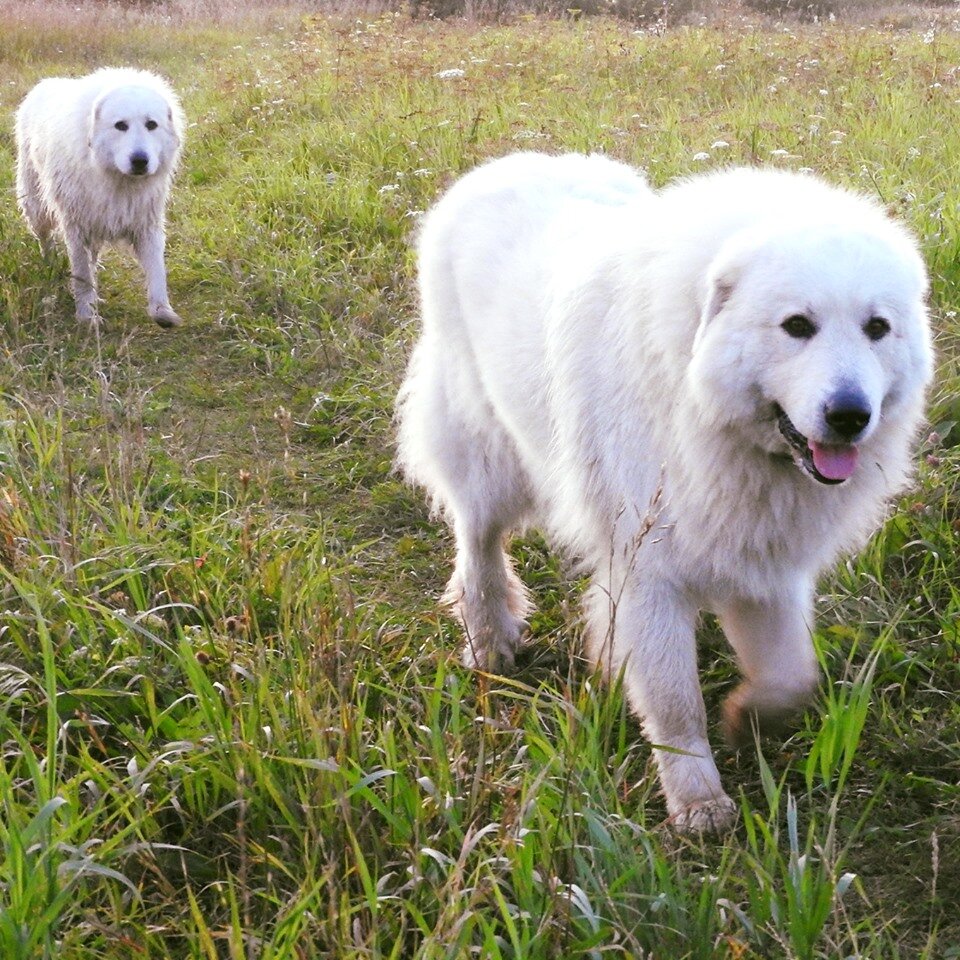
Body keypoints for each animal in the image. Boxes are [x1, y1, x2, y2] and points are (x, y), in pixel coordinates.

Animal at [15, 68, 186, 326]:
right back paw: (50, 264)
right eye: (121, 125)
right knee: (45, 239)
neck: (117, 178)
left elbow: (157, 271)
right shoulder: (77, 228)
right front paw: (86, 315)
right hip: (37, 208)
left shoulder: (146, 225)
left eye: (151, 125)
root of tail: (44, 84)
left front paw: (162, 311)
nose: (140, 160)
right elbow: (82, 274)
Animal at [394, 152, 932, 832]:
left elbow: (792, 676)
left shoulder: (765, 567)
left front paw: (748, 719)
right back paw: (490, 637)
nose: (850, 415)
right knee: (478, 542)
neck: (699, 402)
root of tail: (503, 163)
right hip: (487, 458)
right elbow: (676, 702)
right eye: (797, 326)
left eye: (877, 328)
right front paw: (698, 801)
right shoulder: (651, 574)